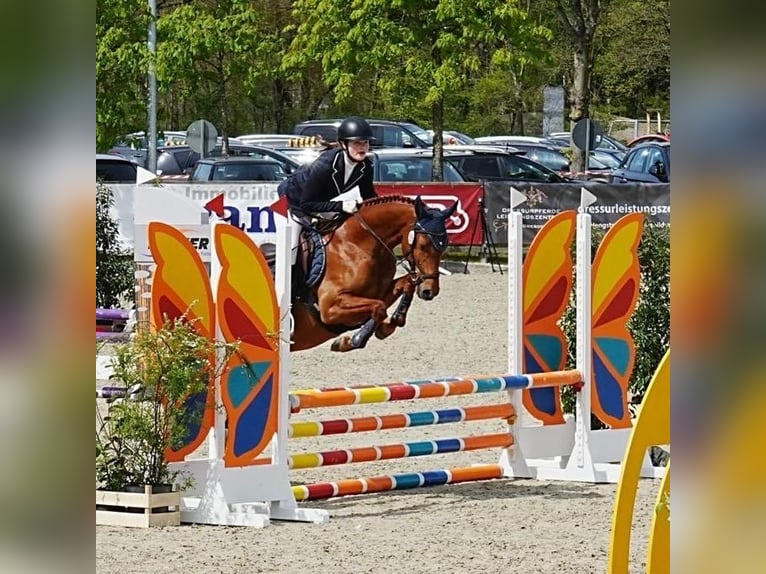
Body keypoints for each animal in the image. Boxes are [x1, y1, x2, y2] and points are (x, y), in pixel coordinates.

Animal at [288, 196, 456, 354]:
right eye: (422, 245)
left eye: (444, 246)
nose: (429, 291)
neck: (357, 244)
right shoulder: (329, 307)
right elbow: (379, 307)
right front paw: (352, 340)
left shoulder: (378, 293)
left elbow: (405, 285)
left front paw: (389, 325)